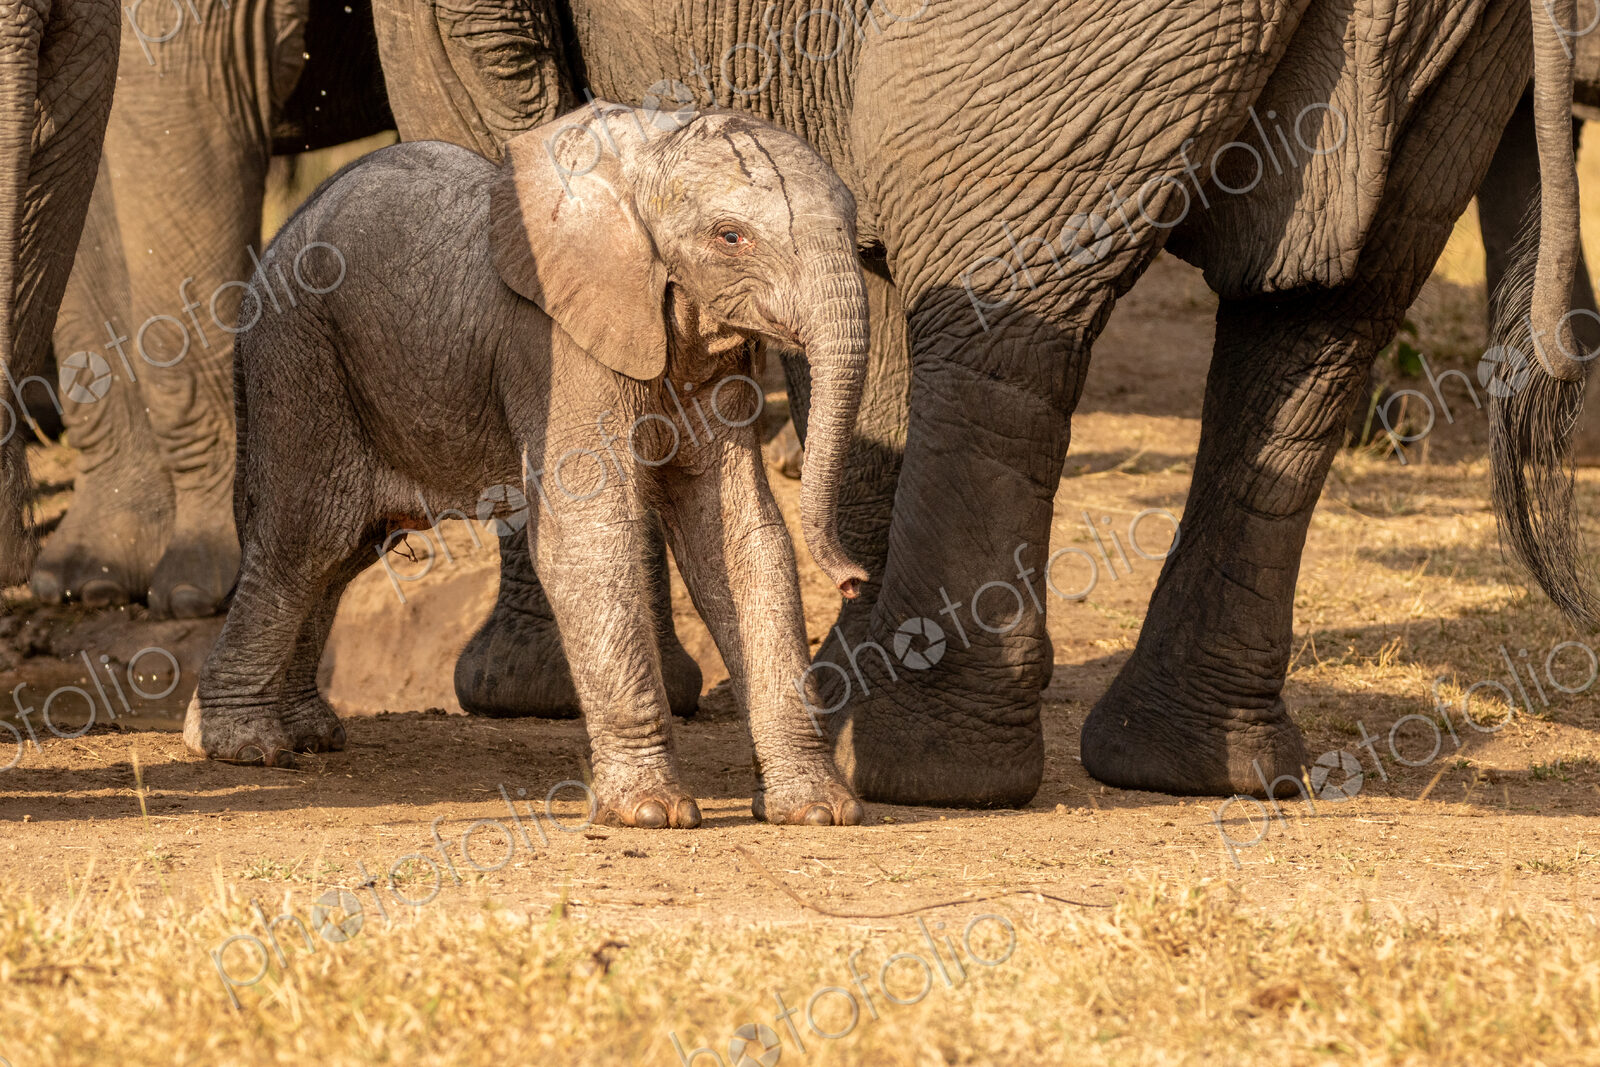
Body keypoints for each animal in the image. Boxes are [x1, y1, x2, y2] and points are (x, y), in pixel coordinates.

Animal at [183, 104, 872, 829]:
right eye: (731, 236)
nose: (855, 579)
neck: (645, 158)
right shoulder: (556, 348)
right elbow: (589, 533)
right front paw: (650, 813)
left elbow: (742, 541)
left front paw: (818, 811)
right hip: (299, 357)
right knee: (305, 541)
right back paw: (243, 745)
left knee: (344, 554)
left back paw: (309, 733)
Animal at [365, 0, 1586, 806]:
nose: (842, 572)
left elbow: (472, 94)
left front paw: (524, 690)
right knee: (1325, 316)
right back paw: (1196, 767)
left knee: (991, 279)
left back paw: (918, 758)